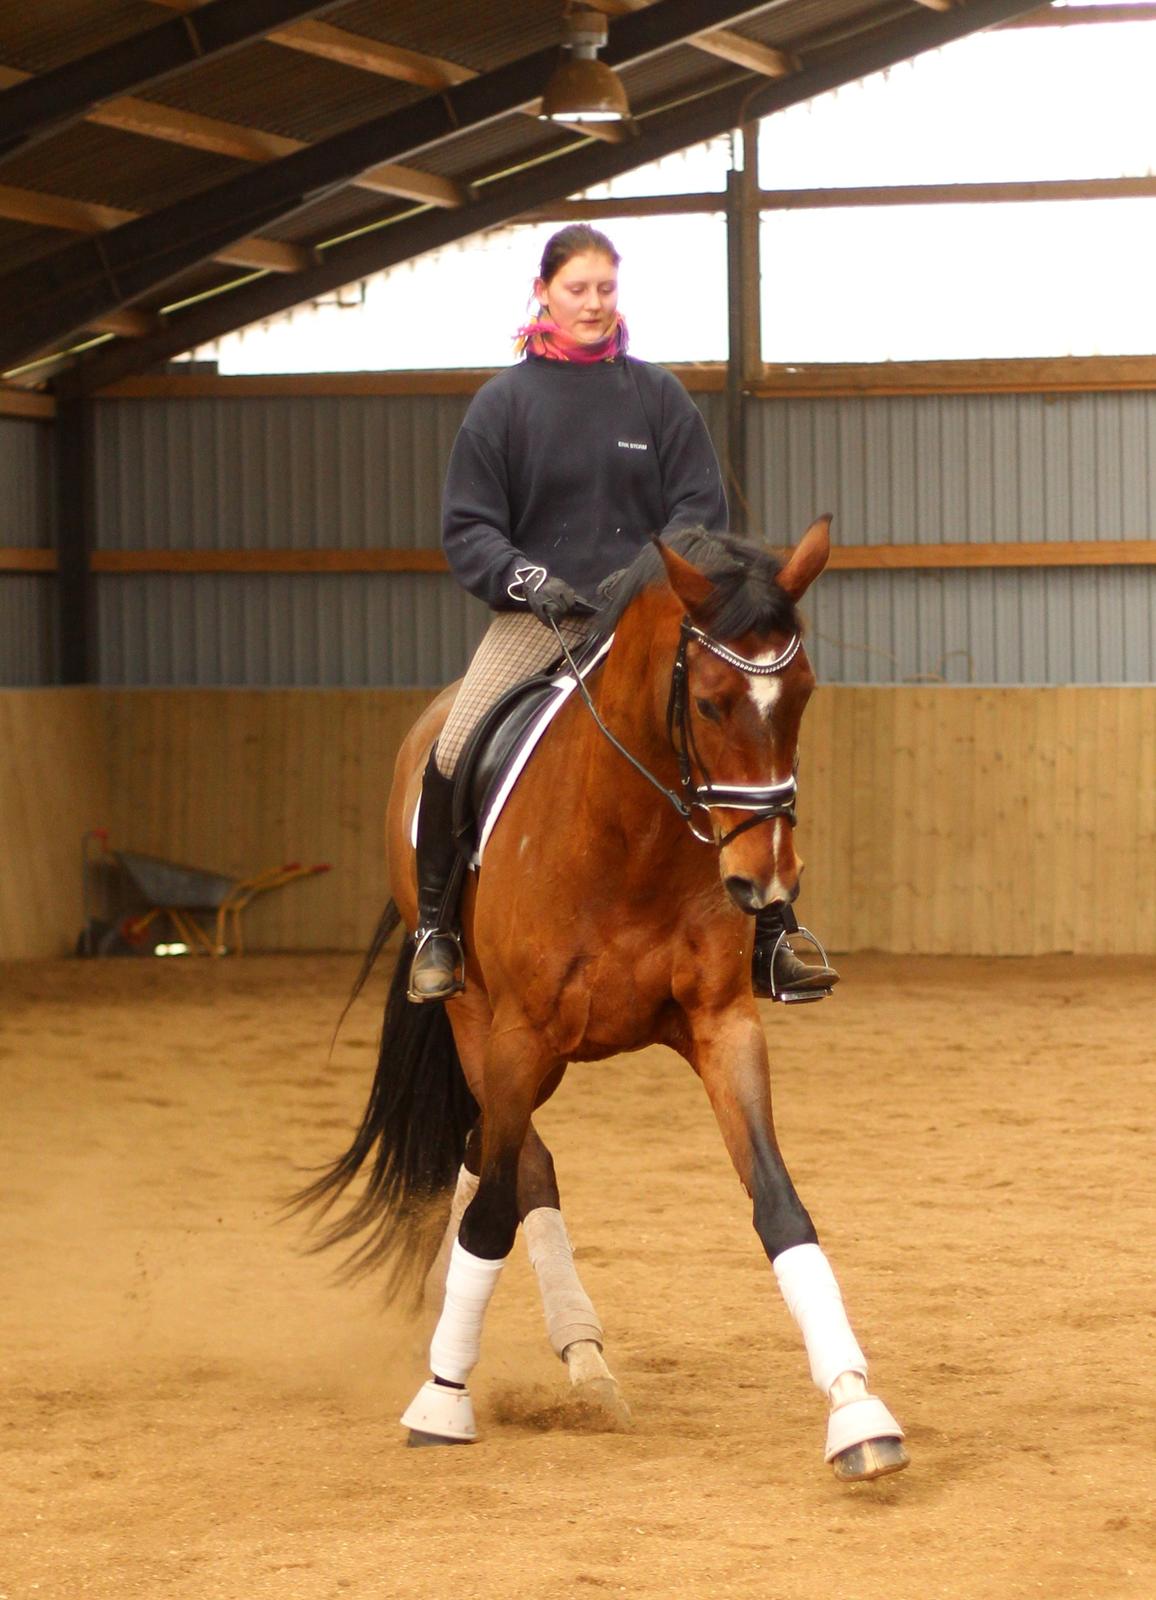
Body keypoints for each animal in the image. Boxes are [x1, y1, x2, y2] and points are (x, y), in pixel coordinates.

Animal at [299, 518, 909, 1478]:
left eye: (803, 695)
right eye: (710, 704)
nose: (766, 882)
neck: (633, 835)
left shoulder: (722, 1025)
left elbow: (779, 1203)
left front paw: (857, 1410)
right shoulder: (518, 1037)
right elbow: (497, 1212)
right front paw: (443, 1399)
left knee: (488, 1152)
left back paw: (577, 1359)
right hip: (479, 1025)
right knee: (515, 1167)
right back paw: (537, 1357)